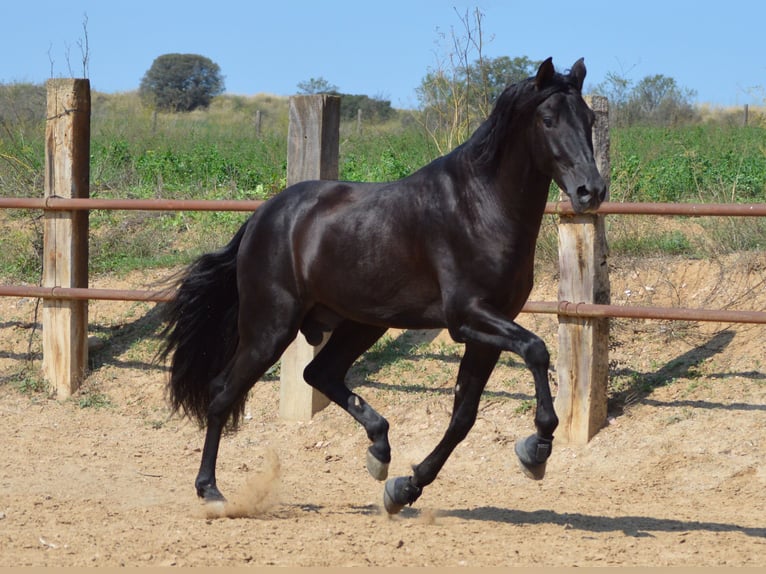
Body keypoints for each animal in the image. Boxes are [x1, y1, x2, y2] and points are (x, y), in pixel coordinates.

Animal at [159, 59, 608, 516]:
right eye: (548, 120)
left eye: (590, 119)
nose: (591, 190)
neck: (480, 206)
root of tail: (262, 216)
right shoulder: (467, 317)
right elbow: (536, 349)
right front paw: (537, 447)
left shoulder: (487, 330)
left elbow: (463, 416)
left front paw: (405, 487)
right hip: (271, 327)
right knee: (222, 393)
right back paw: (211, 490)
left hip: (362, 324)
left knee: (318, 372)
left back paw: (379, 449)